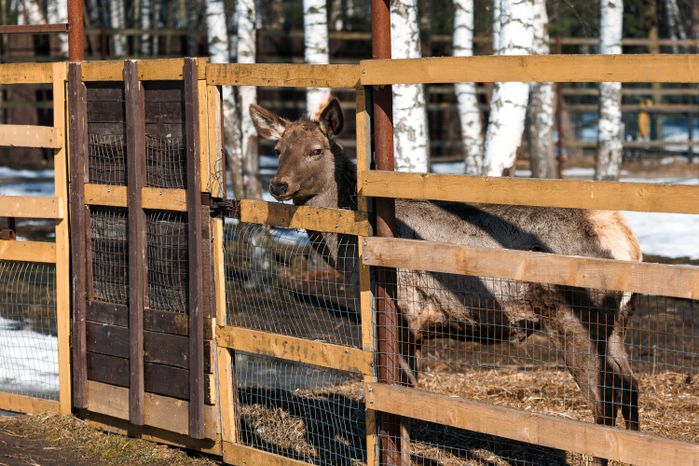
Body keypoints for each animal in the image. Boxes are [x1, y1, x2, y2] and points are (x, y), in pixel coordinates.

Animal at [250, 98, 641, 464]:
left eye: (316, 150)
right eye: (278, 149)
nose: (278, 184)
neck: (345, 249)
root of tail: (627, 243)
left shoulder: (405, 316)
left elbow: (402, 401)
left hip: (575, 320)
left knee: (603, 403)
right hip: (616, 325)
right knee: (630, 387)